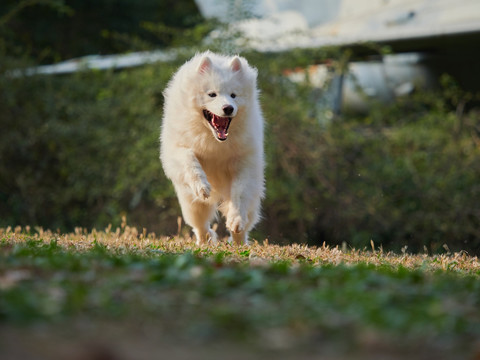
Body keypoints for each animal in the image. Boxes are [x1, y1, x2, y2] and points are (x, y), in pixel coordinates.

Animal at [161, 51, 266, 245]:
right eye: (212, 94)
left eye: (233, 95)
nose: (228, 108)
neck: (215, 141)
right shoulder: (178, 148)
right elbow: (189, 162)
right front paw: (202, 186)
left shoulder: (244, 162)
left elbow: (240, 193)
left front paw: (236, 219)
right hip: (192, 204)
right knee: (201, 224)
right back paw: (205, 241)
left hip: (252, 200)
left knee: (245, 220)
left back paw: (238, 239)